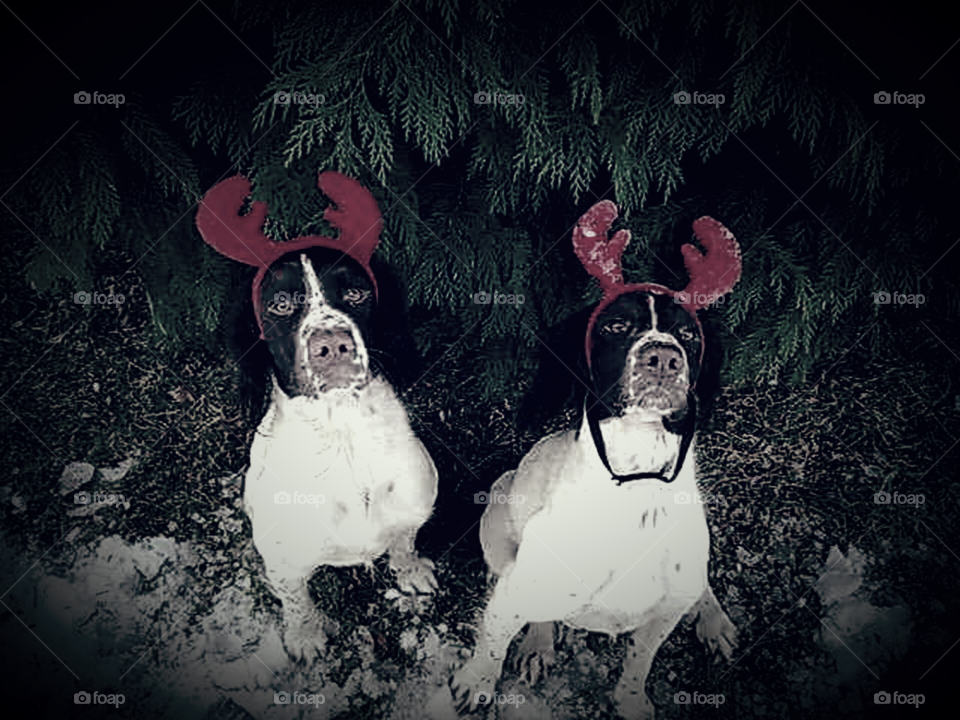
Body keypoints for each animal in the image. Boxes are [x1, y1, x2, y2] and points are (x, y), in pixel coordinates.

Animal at [199, 170, 438, 664]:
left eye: (356, 292)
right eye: (280, 303)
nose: (331, 345)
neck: (343, 434)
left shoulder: (414, 506)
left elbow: (403, 542)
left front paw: (410, 572)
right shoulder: (284, 561)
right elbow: (297, 601)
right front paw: (306, 637)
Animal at [452, 200, 744, 716]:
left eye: (688, 334)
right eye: (616, 325)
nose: (664, 357)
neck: (635, 482)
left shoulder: (660, 617)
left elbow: (639, 664)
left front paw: (631, 702)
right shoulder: (511, 595)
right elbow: (491, 644)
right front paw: (476, 682)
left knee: (700, 587)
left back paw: (714, 621)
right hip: (498, 509)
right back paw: (538, 644)